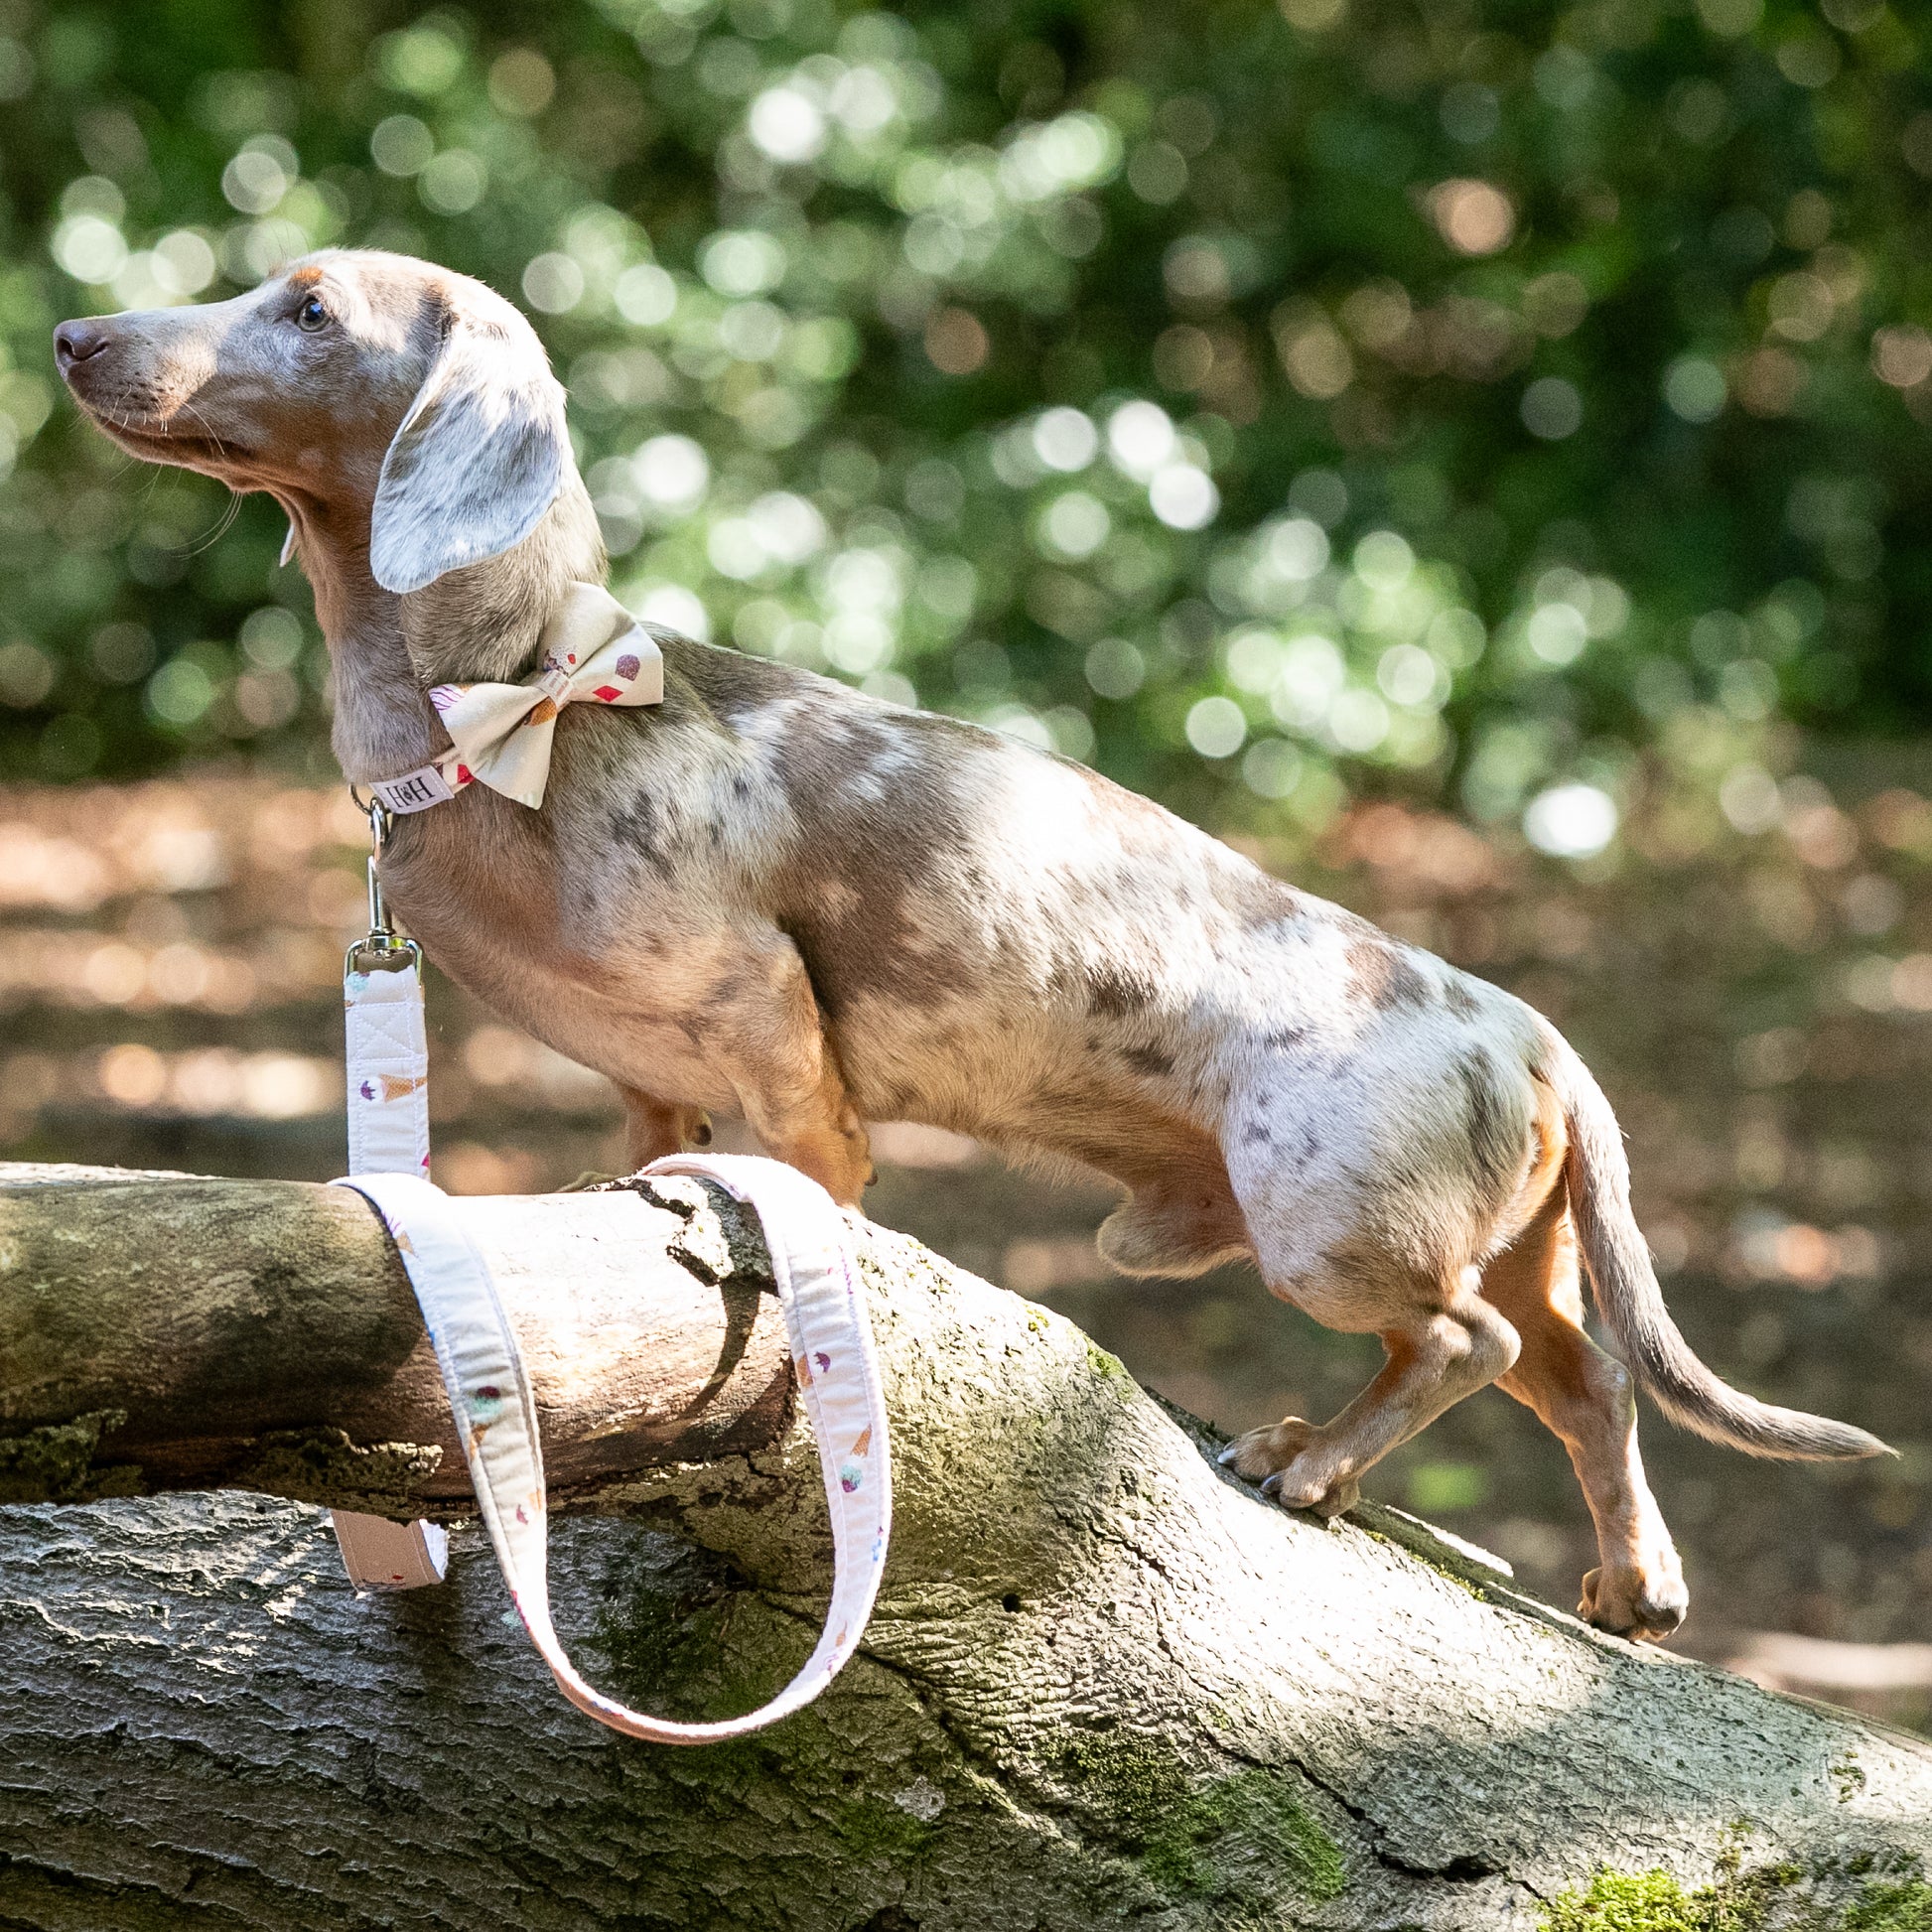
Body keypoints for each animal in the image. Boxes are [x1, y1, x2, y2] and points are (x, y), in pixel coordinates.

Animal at [60, 252, 1885, 1645]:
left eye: (307, 306)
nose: (73, 336)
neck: (525, 710)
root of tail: (1525, 1026)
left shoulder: (779, 1045)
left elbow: (802, 1181)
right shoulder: (647, 1075)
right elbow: (630, 1144)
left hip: (1330, 1230)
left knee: (1469, 1349)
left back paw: (1306, 1463)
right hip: (1501, 1246)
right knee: (1586, 1381)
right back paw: (1632, 1587)